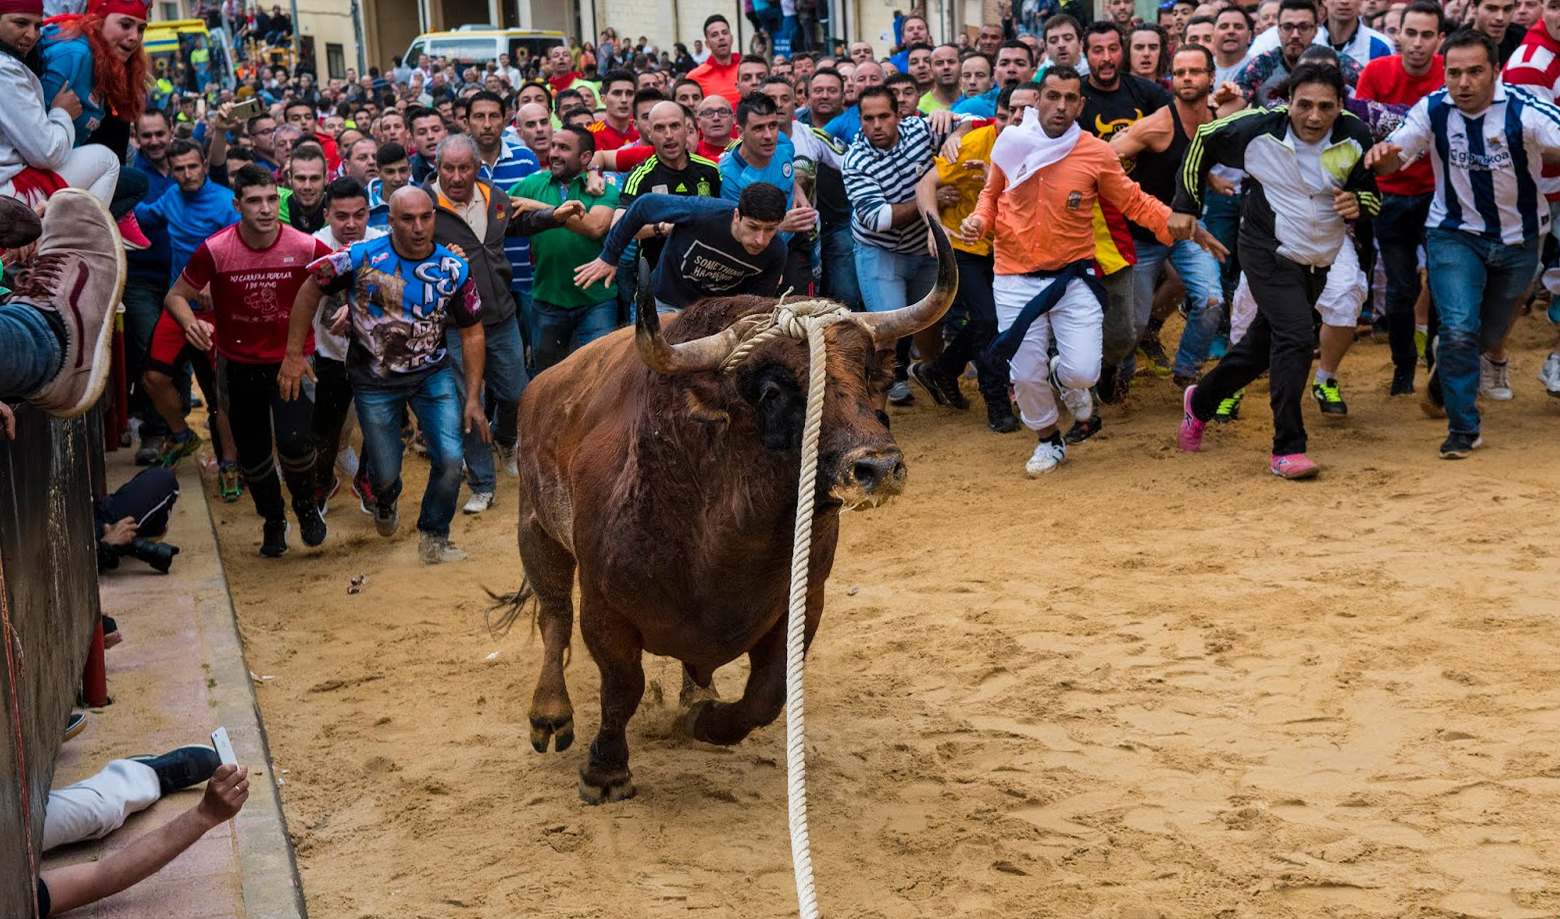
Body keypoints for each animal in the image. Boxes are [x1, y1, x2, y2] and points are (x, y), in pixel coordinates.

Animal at [499, 218, 954, 798]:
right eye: (771, 390)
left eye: (867, 375)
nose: (876, 466)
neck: (723, 543)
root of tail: (541, 384)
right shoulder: (604, 609)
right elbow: (622, 686)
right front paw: (606, 769)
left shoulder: (802, 605)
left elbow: (767, 694)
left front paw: (703, 720)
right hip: (536, 531)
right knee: (552, 616)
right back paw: (550, 713)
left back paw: (695, 696)